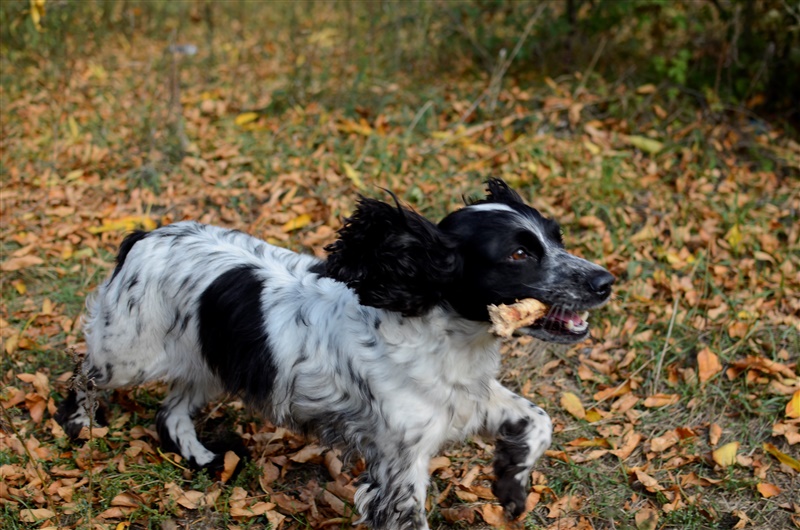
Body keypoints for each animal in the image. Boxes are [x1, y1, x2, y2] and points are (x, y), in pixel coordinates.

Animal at [56, 178, 612, 528]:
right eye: (519, 254)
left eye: (557, 238)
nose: (605, 281)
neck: (444, 335)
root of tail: (145, 235)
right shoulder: (399, 465)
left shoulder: (468, 401)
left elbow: (539, 418)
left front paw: (511, 483)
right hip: (129, 354)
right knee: (84, 375)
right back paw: (78, 424)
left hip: (209, 360)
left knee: (171, 413)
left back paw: (200, 455)